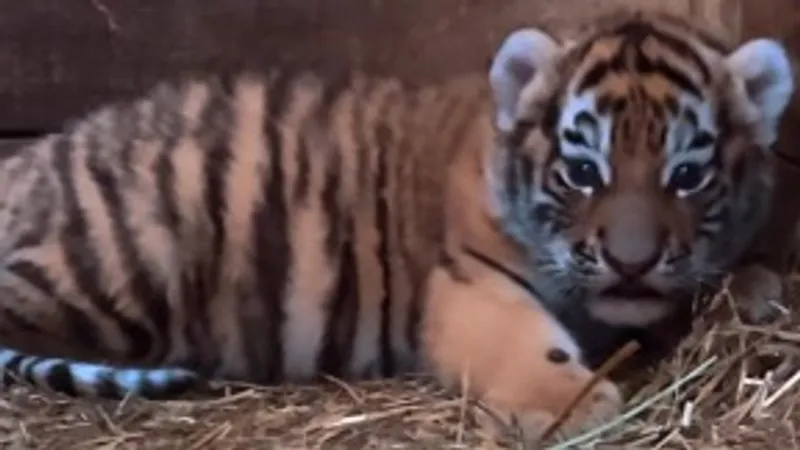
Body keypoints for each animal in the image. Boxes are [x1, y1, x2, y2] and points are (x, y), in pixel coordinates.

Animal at [0, 9, 793, 444]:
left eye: (685, 175)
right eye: (582, 170)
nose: (632, 262)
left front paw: (758, 291)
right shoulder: (468, 283)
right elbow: (525, 343)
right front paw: (573, 406)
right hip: (128, 251)